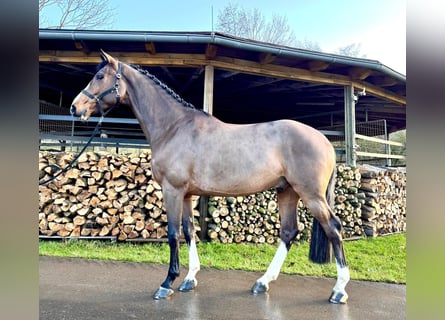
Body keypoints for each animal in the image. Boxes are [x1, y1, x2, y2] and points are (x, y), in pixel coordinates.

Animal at [70, 51, 350, 304]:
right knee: (289, 232)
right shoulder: (186, 194)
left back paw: (338, 290)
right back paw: (262, 282)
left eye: (99, 76)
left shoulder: (172, 190)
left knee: (333, 228)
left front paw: (167, 283)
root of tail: (324, 140)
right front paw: (189, 279)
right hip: (287, 191)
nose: (75, 107)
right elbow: (189, 231)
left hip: (310, 194)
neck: (174, 128)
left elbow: (173, 234)